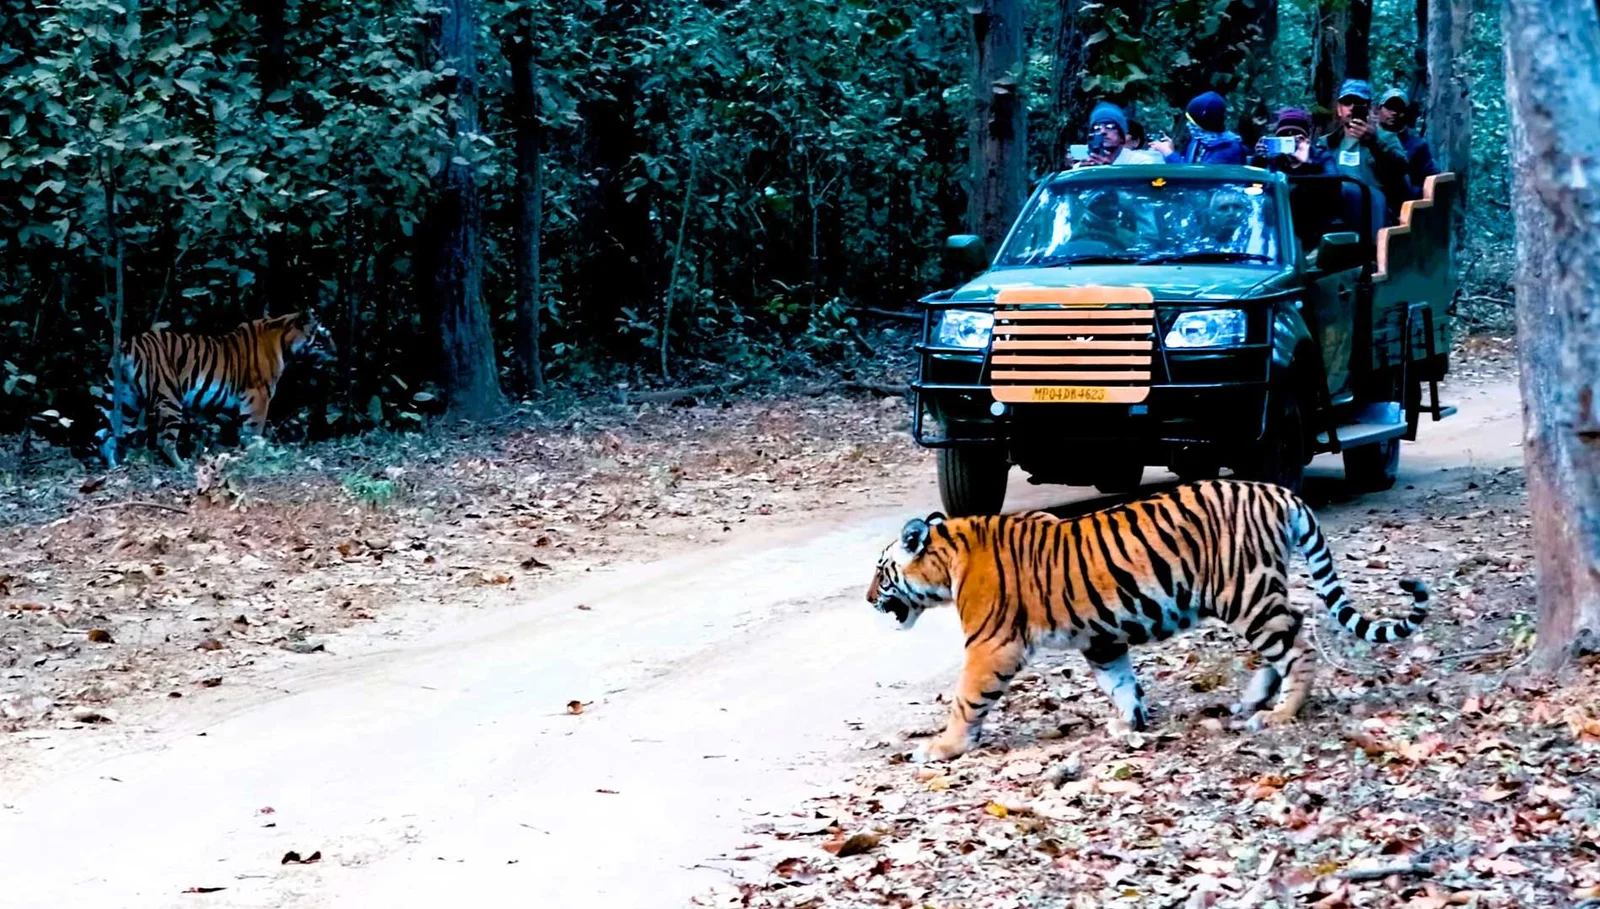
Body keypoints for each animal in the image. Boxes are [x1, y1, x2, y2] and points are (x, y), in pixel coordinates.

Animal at [97, 312, 334, 467]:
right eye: (322, 338)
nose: (337, 353)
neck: (282, 339)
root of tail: (129, 344)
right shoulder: (258, 395)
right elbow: (255, 431)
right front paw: (257, 456)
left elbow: (244, 431)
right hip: (169, 397)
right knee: (164, 440)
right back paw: (183, 466)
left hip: (126, 400)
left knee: (108, 436)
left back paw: (114, 467)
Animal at [867, 478, 1429, 763]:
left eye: (880, 571)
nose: (870, 599)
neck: (948, 560)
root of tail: (1279, 491)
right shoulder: (1101, 638)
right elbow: (1119, 682)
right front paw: (1129, 723)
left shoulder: (991, 646)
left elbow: (966, 700)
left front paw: (944, 746)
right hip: (1253, 597)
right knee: (1286, 637)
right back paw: (1252, 700)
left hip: (1245, 593)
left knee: (1298, 644)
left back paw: (1280, 713)